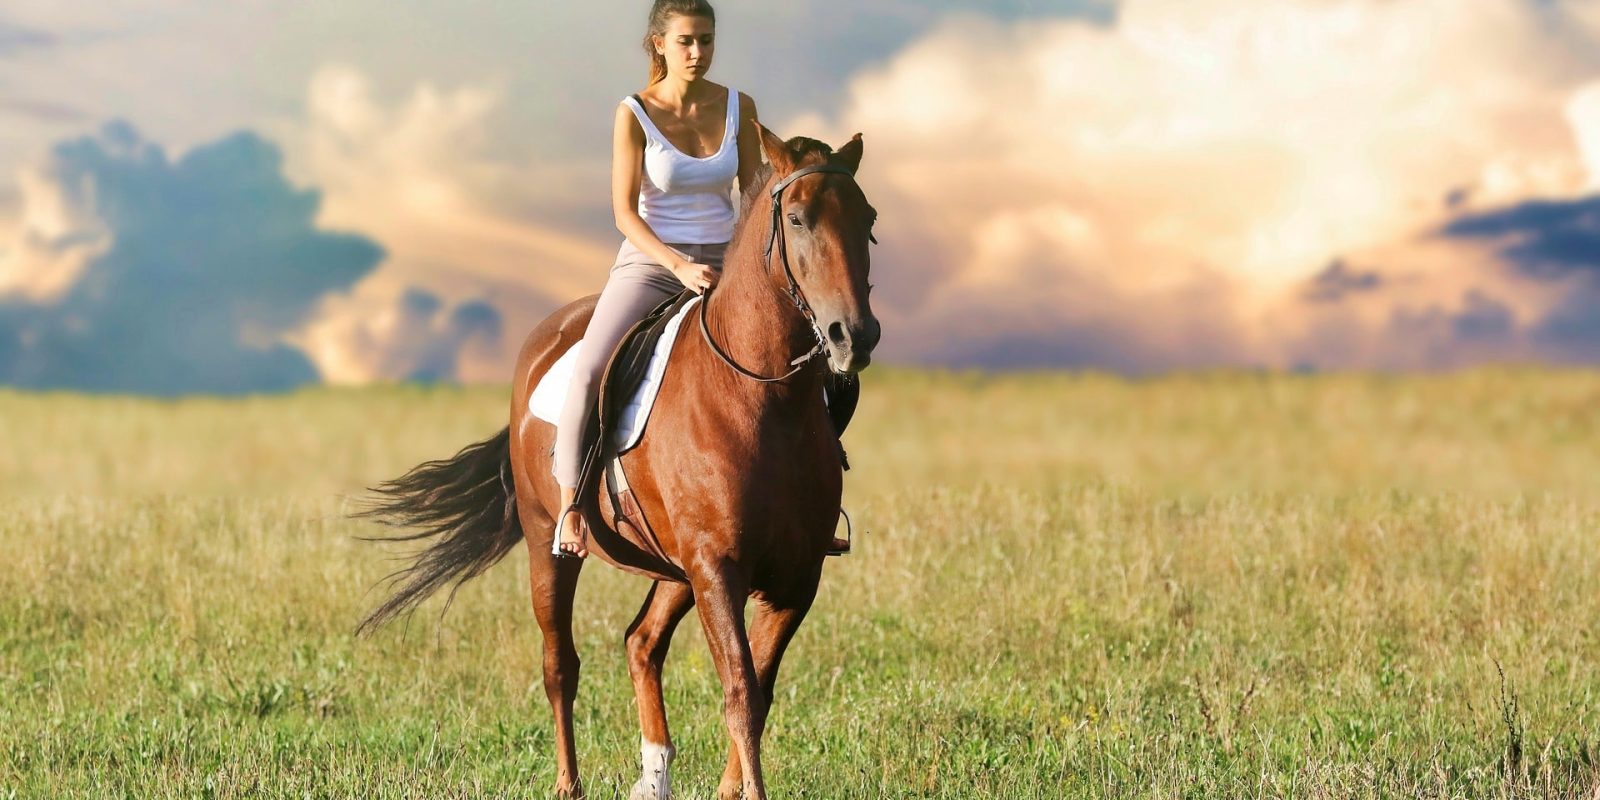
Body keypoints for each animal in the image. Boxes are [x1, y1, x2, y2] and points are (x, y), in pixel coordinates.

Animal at [354, 123, 879, 800]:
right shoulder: (718, 570)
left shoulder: (794, 579)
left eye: (868, 219)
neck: (764, 398)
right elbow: (739, 692)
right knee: (560, 665)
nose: (853, 336)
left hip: (673, 569)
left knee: (641, 642)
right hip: (550, 547)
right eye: (796, 218)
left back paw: (653, 776)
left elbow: (757, 695)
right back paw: (568, 784)